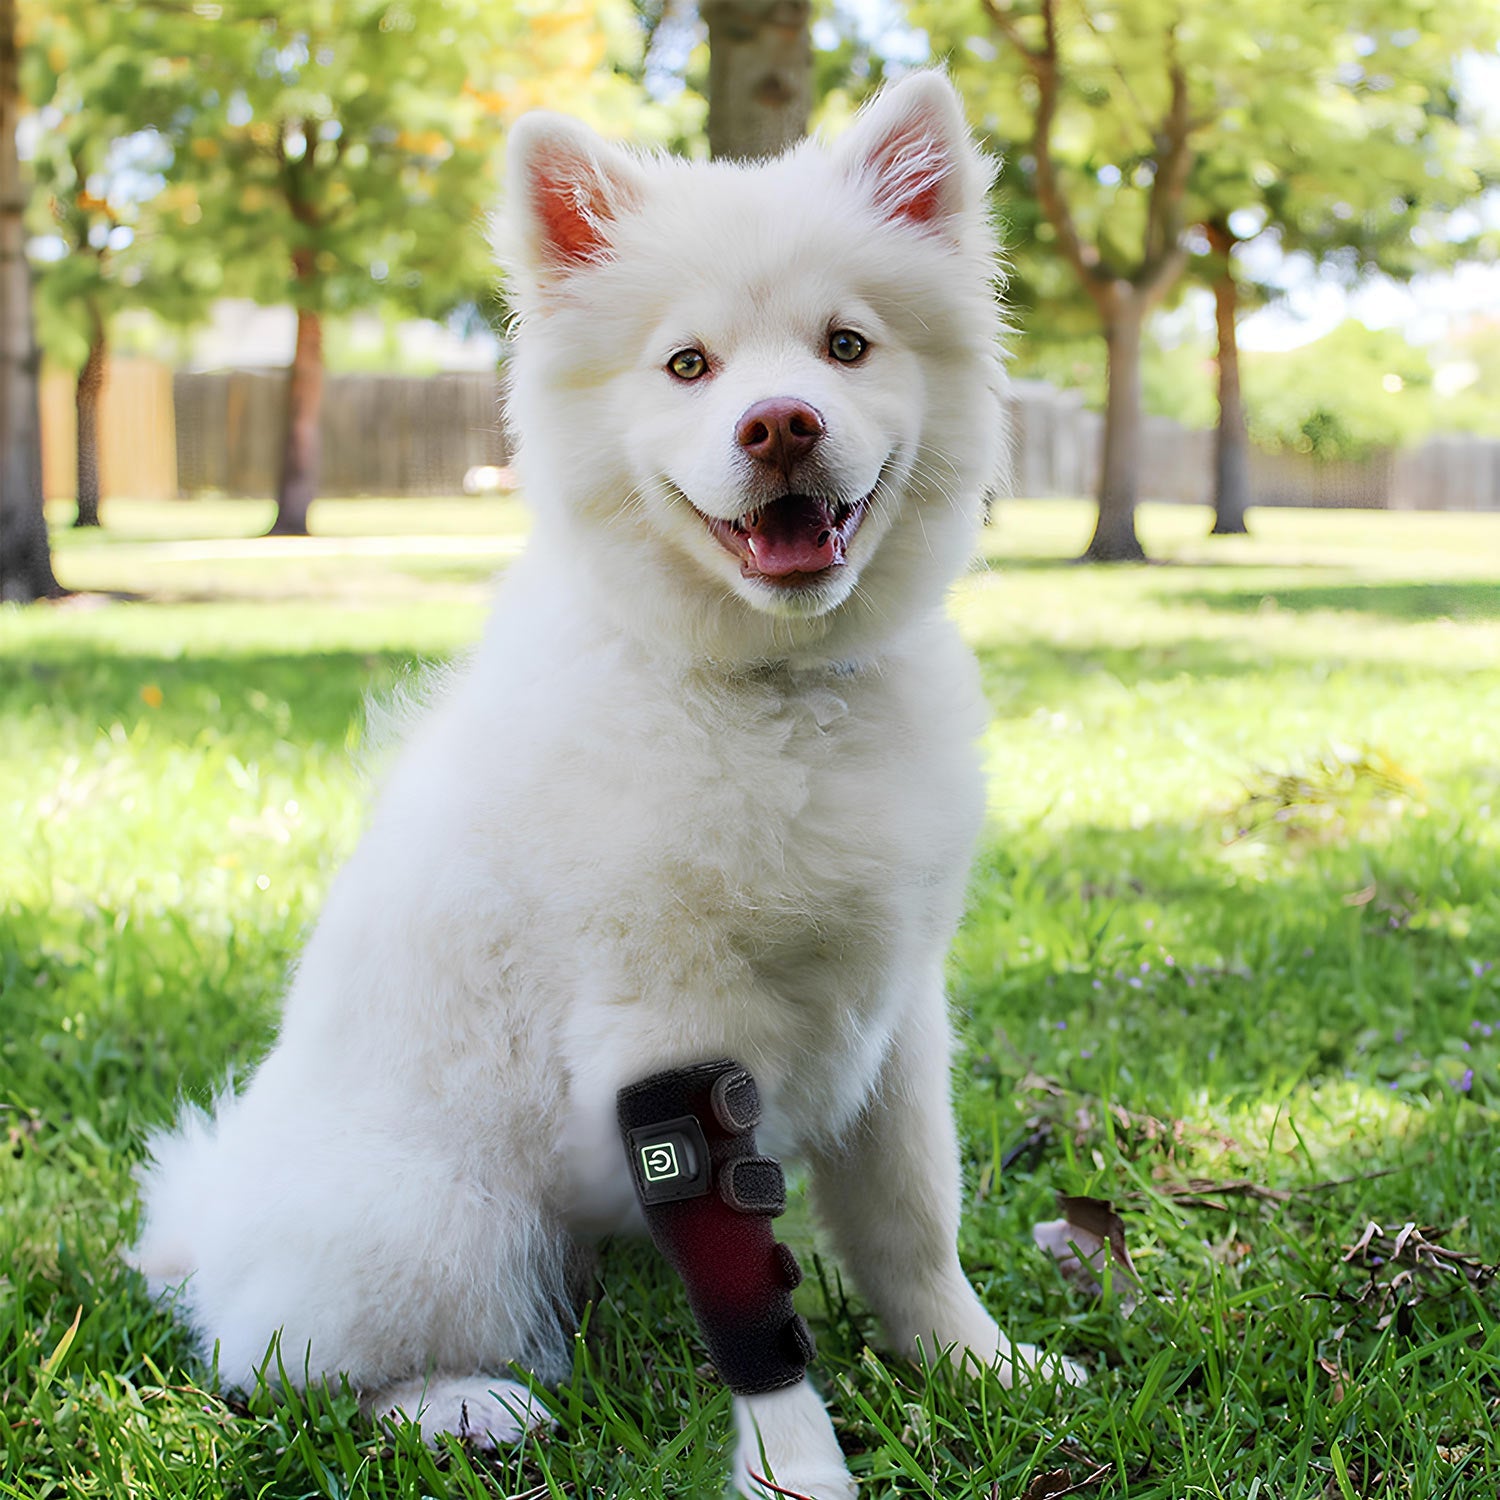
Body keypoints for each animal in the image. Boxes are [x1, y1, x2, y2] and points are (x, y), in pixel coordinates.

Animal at [135, 73, 1080, 1500]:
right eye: (689, 366)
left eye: (845, 346)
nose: (781, 422)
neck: (769, 693)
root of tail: (216, 1230)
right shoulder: (672, 1038)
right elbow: (754, 1308)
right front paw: (796, 1468)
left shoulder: (899, 1017)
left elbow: (916, 1220)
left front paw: (980, 1369)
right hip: (444, 1225)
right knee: (288, 1369)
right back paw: (463, 1406)